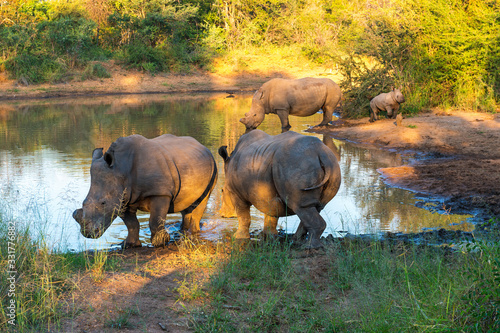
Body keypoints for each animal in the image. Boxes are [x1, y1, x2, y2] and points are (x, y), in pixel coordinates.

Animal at [73, 134, 217, 246]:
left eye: (103, 203)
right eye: (83, 203)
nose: (88, 233)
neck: (120, 168)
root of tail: (202, 146)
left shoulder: (160, 192)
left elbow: (155, 220)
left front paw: (161, 243)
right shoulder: (123, 198)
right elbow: (131, 223)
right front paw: (129, 244)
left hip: (212, 167)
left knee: (202, 201)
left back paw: (193, 234)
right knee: (185, 204)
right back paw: (183, 231)